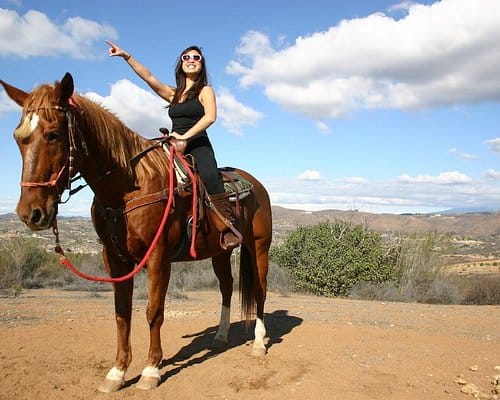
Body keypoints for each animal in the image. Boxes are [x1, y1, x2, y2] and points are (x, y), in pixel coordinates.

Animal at [0, 73, 274, 392]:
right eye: (18, 137)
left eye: (53, 134)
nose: (30, 213)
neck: (129, 186)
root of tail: (257, 185)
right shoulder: (114, 259)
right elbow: (122, 314)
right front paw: (117, 373)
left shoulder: (158, 257)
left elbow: (153, 311)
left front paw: (151, 370)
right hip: (220, 251)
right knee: (227, 287)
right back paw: (220, 337)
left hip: (259, 247)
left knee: (260, 289)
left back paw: (259, 343)